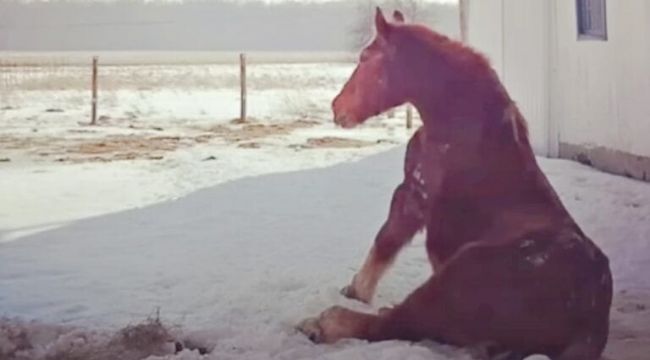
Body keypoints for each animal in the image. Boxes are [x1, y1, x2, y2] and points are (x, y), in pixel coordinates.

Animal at [298, 8, 612, 360]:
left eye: (366, 57)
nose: (337, 108)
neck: (459, 125)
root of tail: (590, 320)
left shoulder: (412, 195)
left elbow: (385, 241)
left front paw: (356, 291)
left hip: (453, 276)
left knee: (393, 323)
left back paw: (322, 323)